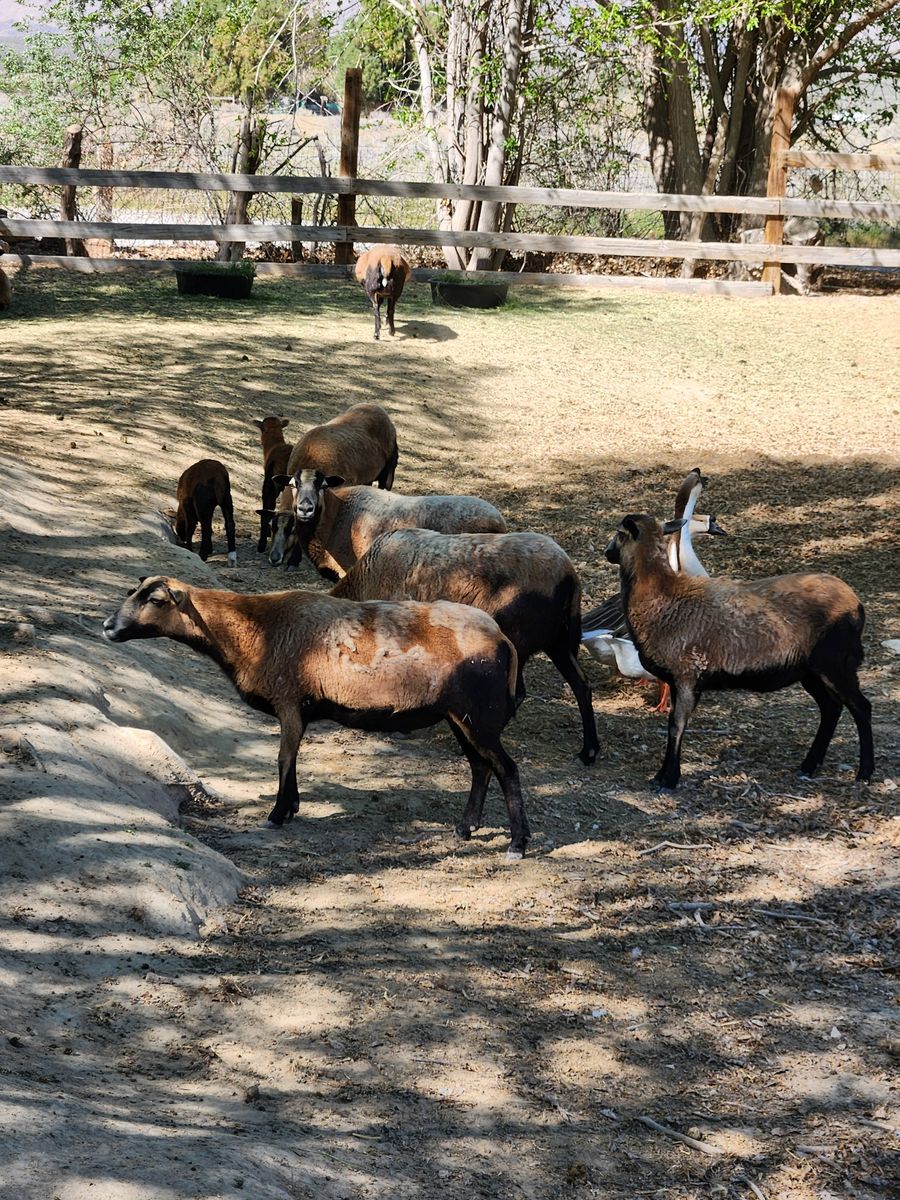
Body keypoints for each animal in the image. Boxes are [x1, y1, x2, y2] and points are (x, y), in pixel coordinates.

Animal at [102, 577, 531, 856]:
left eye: (156, 600)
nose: (108, 626)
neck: (253, 630)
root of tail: (501, 639)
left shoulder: (289, 701)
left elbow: (282, 758)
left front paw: (277, 815)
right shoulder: (297, 709)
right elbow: (291, 760)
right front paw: (291, 807)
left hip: (479, 716)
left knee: (506, 769)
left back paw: (518, 843)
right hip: (461, 717)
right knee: (481, 767)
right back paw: (465, 829)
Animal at [331, 528, 600, 765]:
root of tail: (568, 575)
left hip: (517, 639)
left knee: (519, 692)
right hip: (558, 640)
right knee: (581, 685)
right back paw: (588, 752)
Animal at [604, 512, 875, 790]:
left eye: (619, 533)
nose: (607, 552)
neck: (661, 595)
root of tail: (856, 604)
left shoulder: (688, 676)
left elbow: (676, 726)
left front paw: (669, 779)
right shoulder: (679, 681)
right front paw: (660, 775)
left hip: (836, 662)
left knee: (861, 707)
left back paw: (864, 772)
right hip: (810, 672)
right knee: (831, 709)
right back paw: (809, 766)